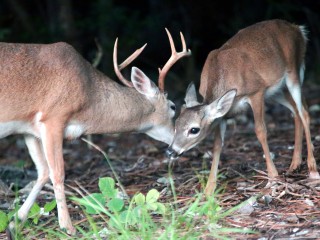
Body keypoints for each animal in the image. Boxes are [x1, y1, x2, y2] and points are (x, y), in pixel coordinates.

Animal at [2, 29, 191, 233]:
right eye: (173, 106)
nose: (175, 146)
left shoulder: (29, 130)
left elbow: (43, 172)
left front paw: (15, 223)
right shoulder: (54, 117)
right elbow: (58, 173)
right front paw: (68, 227)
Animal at [166, 19, 318, 196]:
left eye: (194, 129)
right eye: (176, 125)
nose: (170, 151)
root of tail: (298, 29)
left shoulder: (256, 92)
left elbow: (260, 131)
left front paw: (273, 178)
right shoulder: (224, 114)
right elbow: (217, 145)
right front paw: (209, 189)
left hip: (294, 70)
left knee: (304, 112)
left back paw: (312, 167)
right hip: (275, 90)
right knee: (296, 110)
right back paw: (295, 164)